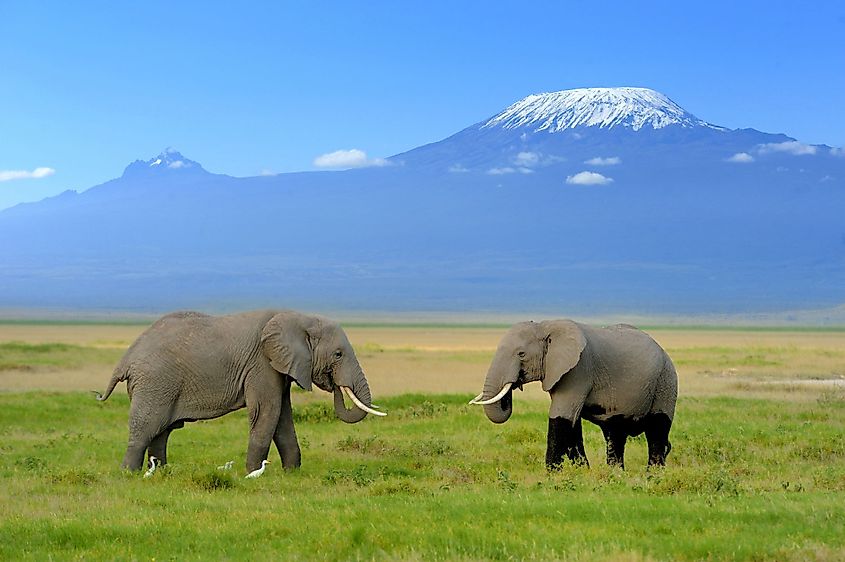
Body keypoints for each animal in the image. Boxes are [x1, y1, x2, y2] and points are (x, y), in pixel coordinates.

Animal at [98, 308, 386, 470]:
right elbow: (267, 412)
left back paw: (162, 472)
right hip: (155, 383)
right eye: (338, 354)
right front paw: (252, 473)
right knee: (146, 427)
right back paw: (129, 474)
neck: (299, 317)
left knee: (162, 431)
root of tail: (126, 358)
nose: (335, 383)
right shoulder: (262, 364)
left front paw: (292, 473)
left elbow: (283, 417)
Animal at [472, 320, 676, 468]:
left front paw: (552, 476)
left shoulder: (578, 369)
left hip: (666, 381)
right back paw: (616, 475)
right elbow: (572, 423)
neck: (545, 326)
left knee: (657, 430)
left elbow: (561, 417)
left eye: (521, 354)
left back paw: (653, 476)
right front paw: (582, 472)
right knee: (615, 434)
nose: (513, 386)